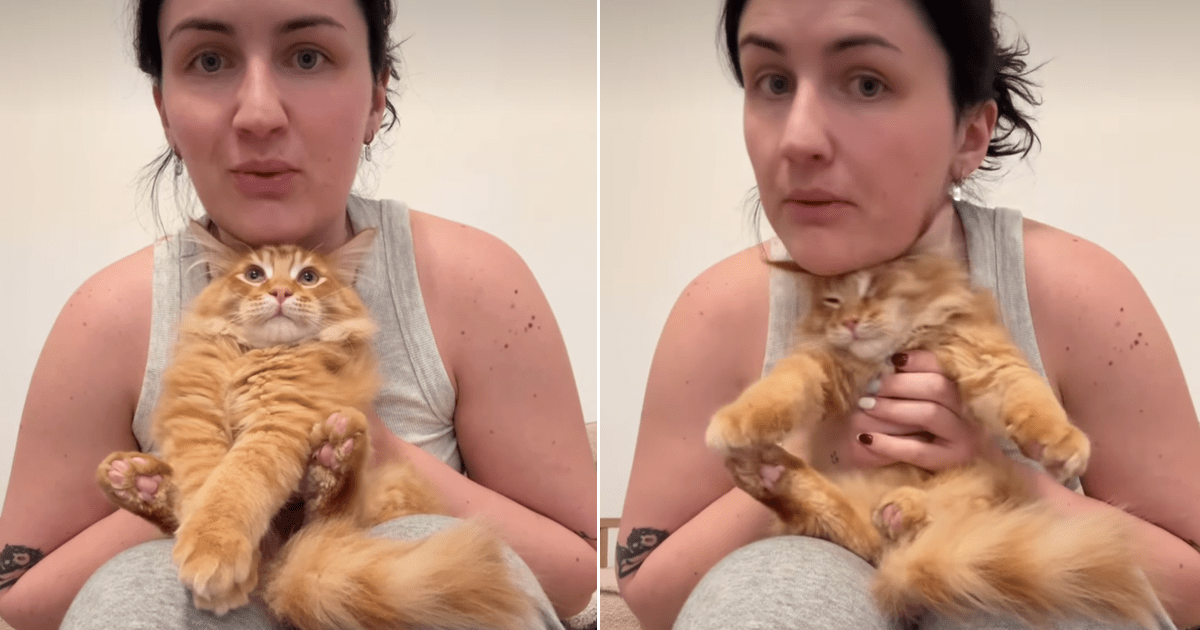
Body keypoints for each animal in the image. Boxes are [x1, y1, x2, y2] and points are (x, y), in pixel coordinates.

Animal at [96, 220, 533, 630]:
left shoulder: (279, 423)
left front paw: (214, 552)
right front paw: (219, 556)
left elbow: (235, 483)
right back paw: (139, 482)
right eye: (254, 274)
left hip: (381, 482)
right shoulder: (194, 418)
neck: (254, 355)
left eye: (308, 277)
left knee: (335, 516)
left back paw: (333, 462)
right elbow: (205, 486)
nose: (281, 292)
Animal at [705, 251, 1160, 628]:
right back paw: (767, 470)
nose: (849, 322)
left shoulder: (987, 359)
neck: (894, 351)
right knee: (849, 526)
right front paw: (734, 421)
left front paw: (1062, 444)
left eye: (871, 288)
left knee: (920, 519)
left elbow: (1032, 400)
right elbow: (777, 390)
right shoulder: (818, 365)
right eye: (832, 302)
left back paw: (895, 508)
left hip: (976, 484)